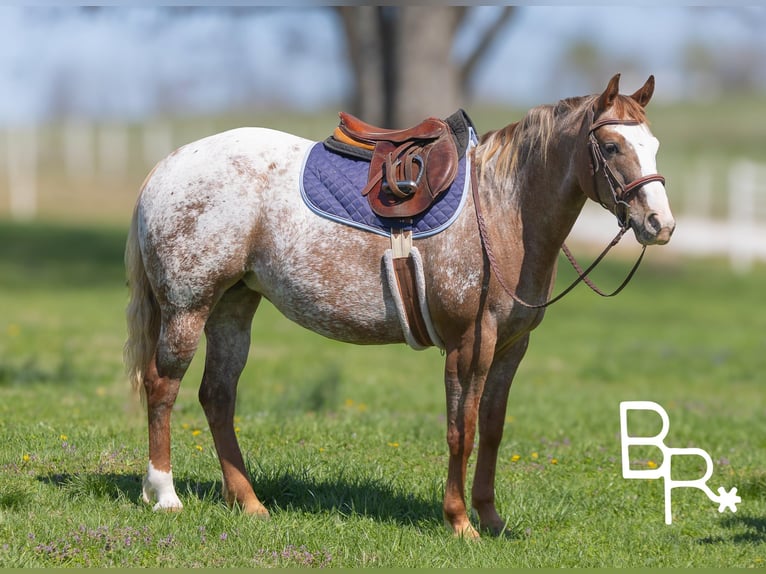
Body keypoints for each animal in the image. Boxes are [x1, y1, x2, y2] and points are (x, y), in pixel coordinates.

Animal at [124, 74, 675, 538]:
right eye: (611, 146)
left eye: (653, 146)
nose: (659, 224)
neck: (502, 210)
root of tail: (169, 164)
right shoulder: (469, 345)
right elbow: (461, 430)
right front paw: (460, 522)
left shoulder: (511, 347)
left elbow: (493, 430)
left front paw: (490, 517)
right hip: (188, 308)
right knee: (162, 387)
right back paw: (164, 493)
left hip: (233, 307)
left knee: (218, 395)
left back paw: (249, 502)